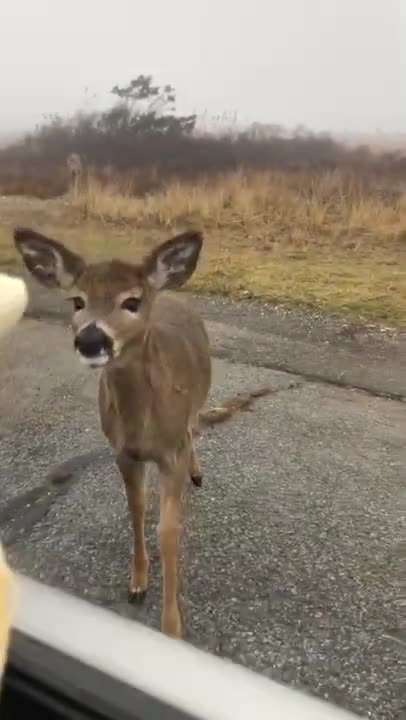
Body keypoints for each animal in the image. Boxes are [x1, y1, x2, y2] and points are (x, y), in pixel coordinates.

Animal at [14, 227, 270, 638]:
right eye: (77, 301)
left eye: (131, 301)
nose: (91, 340)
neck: (144, 427)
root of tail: (172, 294)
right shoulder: (123, 452)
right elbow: (136, 509)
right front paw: (136, 584)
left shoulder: (171, 454)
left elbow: (168, 530)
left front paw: (172, 624)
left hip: (197, 400)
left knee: (193, 427)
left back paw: (198, 473)